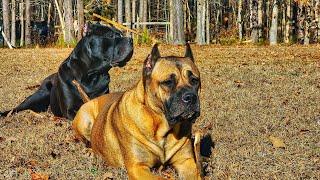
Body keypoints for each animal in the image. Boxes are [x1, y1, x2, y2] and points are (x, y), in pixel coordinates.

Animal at [0, 23, 133, 119]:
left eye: (121, 34)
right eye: (111, 36)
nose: (131, 40)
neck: (91, 76)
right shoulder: (69, 110)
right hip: (38, 96)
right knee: (17, 108)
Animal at [74, 44, 201, 180]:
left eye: (194, 80)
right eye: (168, 82)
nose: (191, 97)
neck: (162, 128)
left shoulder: (186, 162)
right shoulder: (137, 167)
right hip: (84, 121)